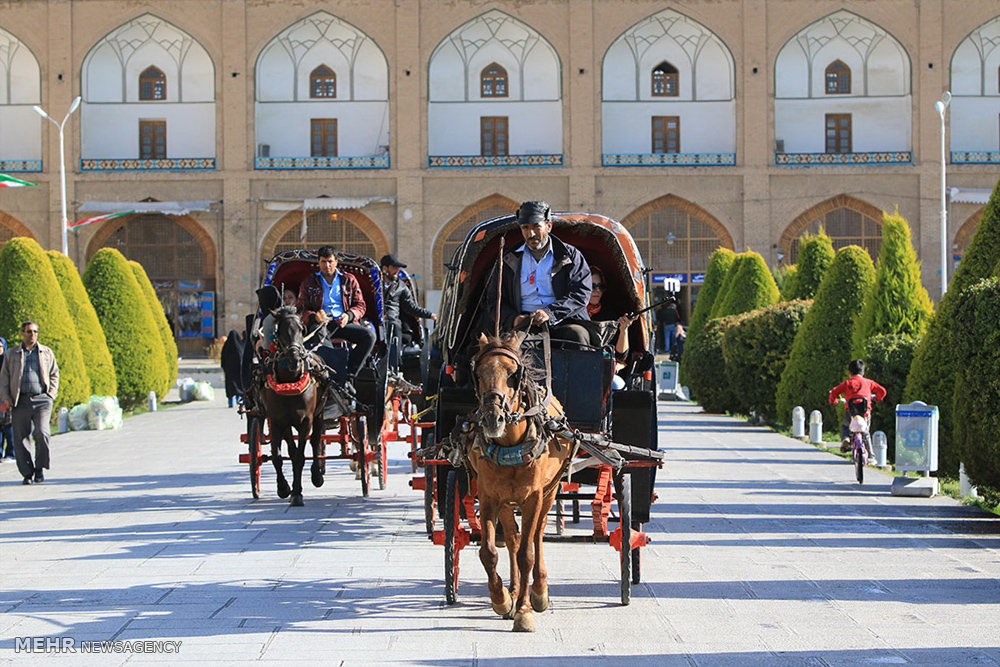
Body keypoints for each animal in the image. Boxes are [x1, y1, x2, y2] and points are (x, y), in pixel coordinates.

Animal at [260, 306, 330, 506]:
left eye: (302, 329)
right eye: (279, 331)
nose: (295, 359)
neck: (290, 380)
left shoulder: (306, 420)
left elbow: (300, 456)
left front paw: (297, 493)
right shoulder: (277, 421)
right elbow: (278, 456)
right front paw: (284, 488)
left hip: (319, 414)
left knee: (315, 441)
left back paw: (316, 475)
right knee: (291, 449)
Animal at [466, 334, 572, 636]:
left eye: (513, 375)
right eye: (478, 374)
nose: (493, 418)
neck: (510, 444)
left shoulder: (533, 497)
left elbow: (527, 554)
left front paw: (524, 611)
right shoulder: (489, 496)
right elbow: (489, 552)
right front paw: (502, 599)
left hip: (549, 492)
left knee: (536, 536)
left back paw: (538, 591)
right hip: (506, 502)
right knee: (512, 539)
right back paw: (513, 591)